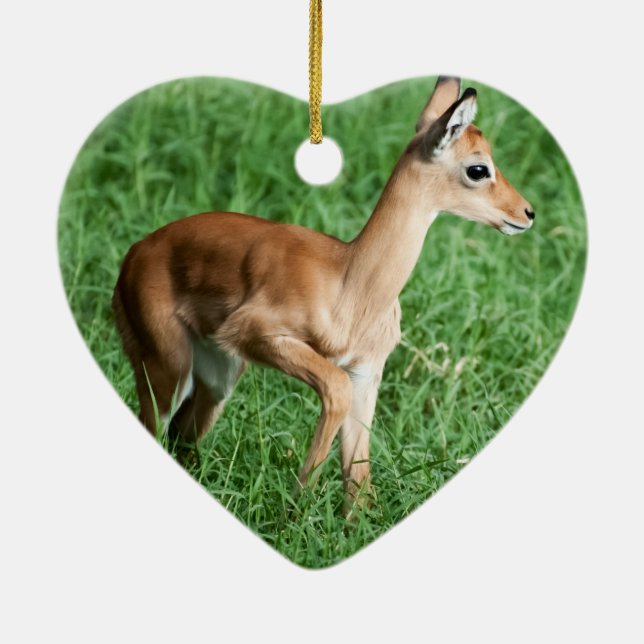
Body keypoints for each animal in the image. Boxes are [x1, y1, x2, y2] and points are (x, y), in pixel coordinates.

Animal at [113, 76, 534, 513]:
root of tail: (134, 254)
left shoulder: (366, 372)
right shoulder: (262, 335)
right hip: (167, 365)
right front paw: (295, 510)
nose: (526, 212)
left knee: (182, 437)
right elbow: (335, 389)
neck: (350, 284)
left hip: (217, 377)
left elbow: (359, 475)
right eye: (478, 168)